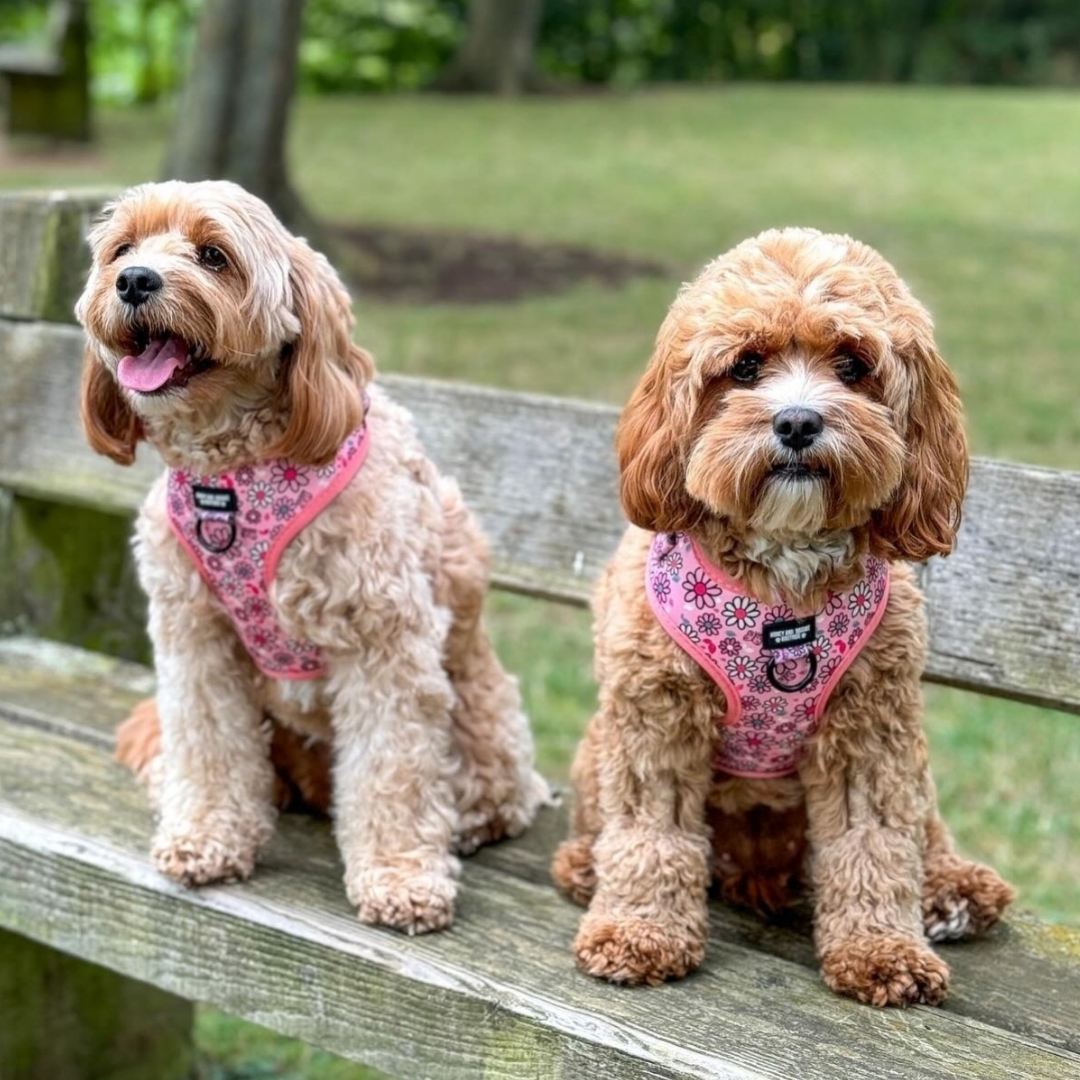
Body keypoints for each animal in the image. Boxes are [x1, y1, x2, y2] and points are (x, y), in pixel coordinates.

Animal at [78, 181, 548, 933]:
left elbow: (394, 770)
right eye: (123, 248)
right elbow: (208, 742)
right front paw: (207, 833)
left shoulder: (386, 644)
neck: (234, 475)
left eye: (214, 255)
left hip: (486, 720)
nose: (134, 281)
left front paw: (400, 877)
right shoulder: (195, 637)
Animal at [552, 227, 1015, 1002]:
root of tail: (758, 871)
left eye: (853, 365)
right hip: (599, 745)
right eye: (745, 365)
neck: (782, 578)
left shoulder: (869, 730)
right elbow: (651, 832)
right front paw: (639, 932)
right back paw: (587, 865)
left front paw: (882, 949)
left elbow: (873, 841)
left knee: (921, 829)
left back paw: (951, 888)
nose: (798, 420)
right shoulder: (657, 717)